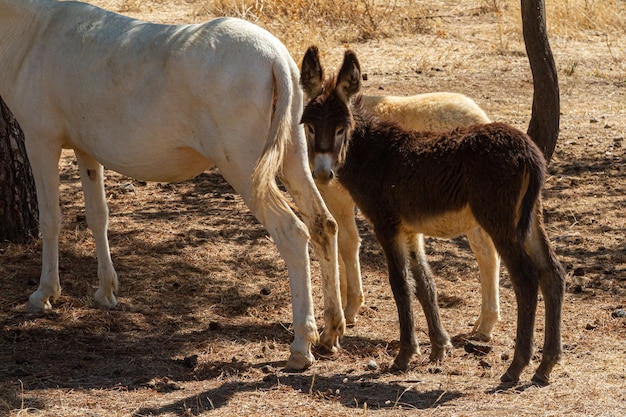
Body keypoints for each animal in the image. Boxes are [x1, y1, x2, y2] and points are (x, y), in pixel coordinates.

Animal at [298, 46, 564, 384]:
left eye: (340, 129)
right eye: (309, 127)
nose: (322, 174)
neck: (374, 154)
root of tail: (528, 151)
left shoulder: (387, 225)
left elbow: (400, 284)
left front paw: (405, 355)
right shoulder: (410, 230)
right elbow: (425, 283)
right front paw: (439, 347)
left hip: (500, 221)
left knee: (526, 278)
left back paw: (516, 366)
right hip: (528, 219)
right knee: (552, 273)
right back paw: (546, 365)